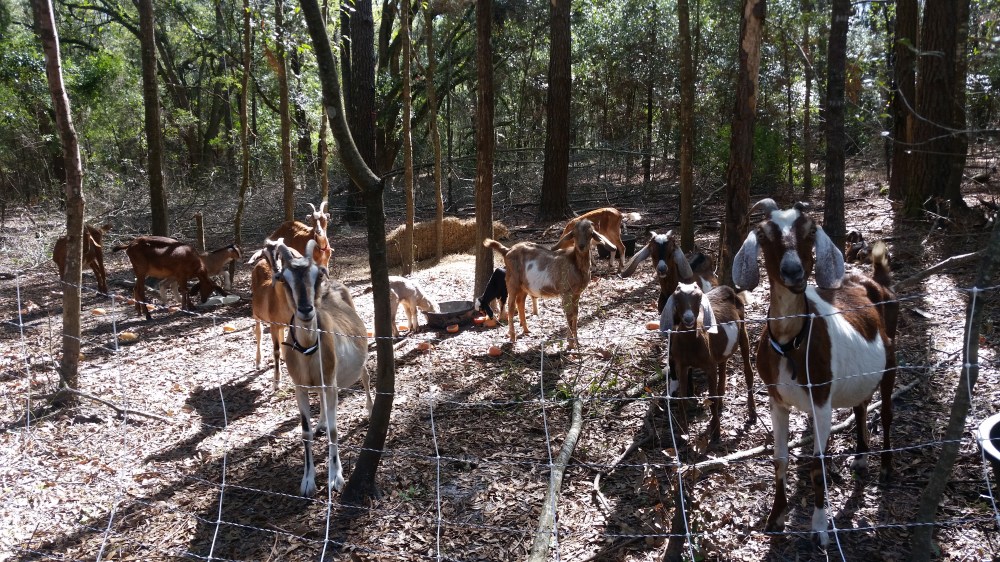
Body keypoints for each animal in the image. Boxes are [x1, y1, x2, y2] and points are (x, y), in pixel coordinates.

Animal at [248, 239, 294, 391]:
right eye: (266, 255)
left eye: (280, 254)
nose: (278, 272)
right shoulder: (273, 325)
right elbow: (276, 351)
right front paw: (276, 382)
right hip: (256, 315)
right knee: (259, 333)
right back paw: (258, 362)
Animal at [274, 239, 372, 496]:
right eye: (284, 278)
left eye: (317, 274)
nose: (306, 310)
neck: (308, 350)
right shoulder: (299, 387)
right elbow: (305, 432)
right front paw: (308, 481)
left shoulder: (331, 383)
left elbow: (335, 430)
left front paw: (335, 477)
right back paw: (321, 423)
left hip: (360, 359)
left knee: (366, 377)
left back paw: (370, 409)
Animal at [484, 218, 613, 349]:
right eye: (574, 234)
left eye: (591, 234)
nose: (581, 246)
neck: (575, 264)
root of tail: (507, 251)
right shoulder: (566, 292)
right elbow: (569, 315)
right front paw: (571, 343)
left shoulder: (577, 293)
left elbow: (575, 315)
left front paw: (577, 342)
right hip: (512, 282)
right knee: (511, 307)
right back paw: (512, 337)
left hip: (524, 286)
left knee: (520, 303)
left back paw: (526, 330)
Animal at [660, 282, 755, 442]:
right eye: (677, 299)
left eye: (699, 298)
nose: (688, 318)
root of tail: (727, 288)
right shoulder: (682, 365)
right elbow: (682, 400)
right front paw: (684, 434)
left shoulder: (709, 366)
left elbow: (711, 398)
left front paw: (716, 433)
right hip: (721, 351)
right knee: (723, 368)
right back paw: (722, 404)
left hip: (743, 332)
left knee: (748, 372)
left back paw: (752, 413)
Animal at [732, 199, 897, 546]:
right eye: (764, 234)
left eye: (810, 231)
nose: (793, 272)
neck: (791, 342)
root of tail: (878, 281)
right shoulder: (777, 399)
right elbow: (780, 458)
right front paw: (775, 517)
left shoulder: (821, 399)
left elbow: (818, 462)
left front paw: (820, 528)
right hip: (856, 378)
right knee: (861, 405)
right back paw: (861, 458)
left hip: (892, 360)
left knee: (887, 412)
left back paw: (886, 466)